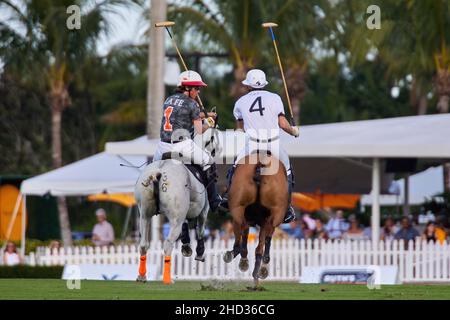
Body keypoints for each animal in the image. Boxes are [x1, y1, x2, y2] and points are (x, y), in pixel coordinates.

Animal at [223, 152, 290, 284]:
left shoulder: (244, 218)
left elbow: (242, 242)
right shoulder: (265, 221)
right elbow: (261, 245)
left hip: (239, 211)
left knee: (245, 234)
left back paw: (245, 261)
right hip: (274, 215)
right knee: (266, 239)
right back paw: (260, 268)